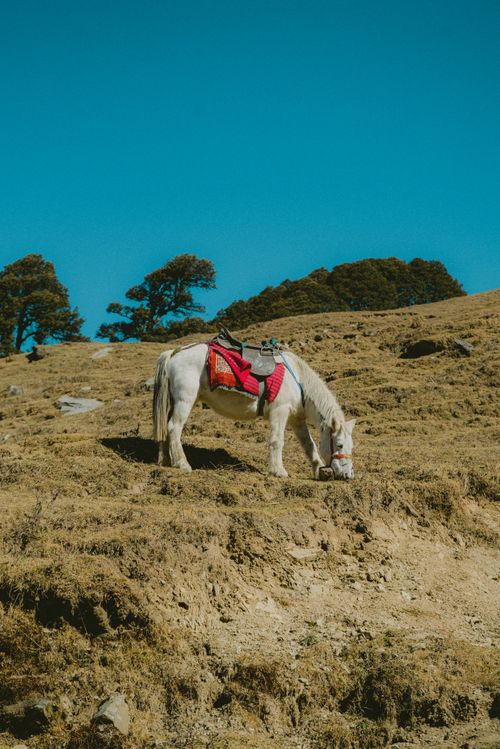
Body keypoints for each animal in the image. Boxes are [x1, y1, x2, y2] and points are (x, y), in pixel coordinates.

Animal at [152, 343, 355, 480]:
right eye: (339, 445)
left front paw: (318, 470)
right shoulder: (279, 411)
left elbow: (309, 445)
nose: (348, 475)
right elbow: (277, 441)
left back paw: (166, 461)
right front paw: (278, 471)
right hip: (184, 401)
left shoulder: (297, 420)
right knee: (174, 428)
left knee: (165, 428)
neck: (298, 380)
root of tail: (173, 354)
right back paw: (182, 464)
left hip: (173, 403)